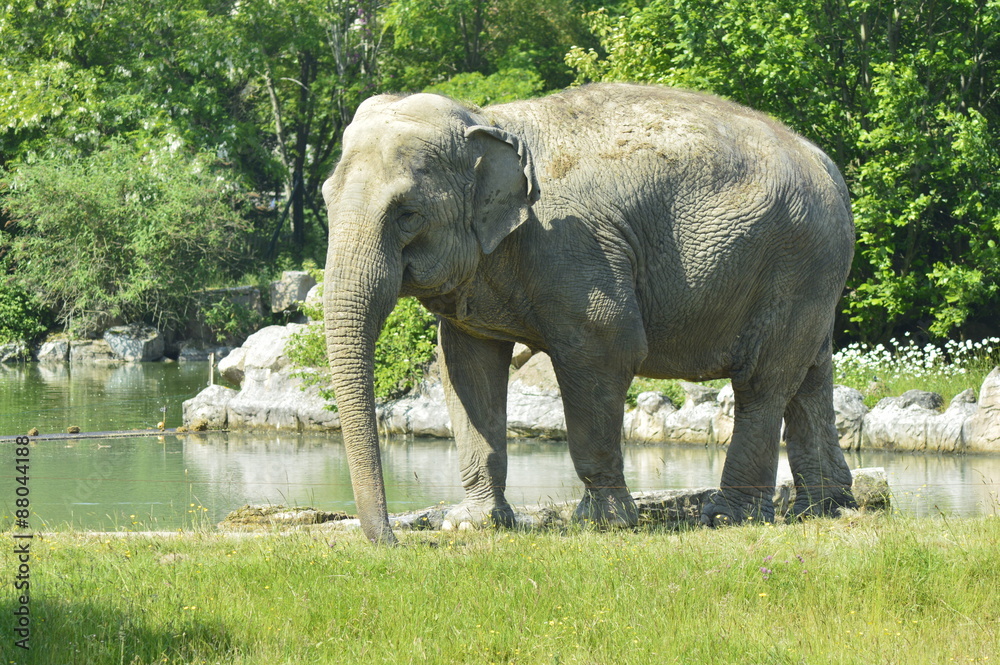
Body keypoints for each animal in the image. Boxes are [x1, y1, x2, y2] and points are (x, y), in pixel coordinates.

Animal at [322, 83, 857, 544]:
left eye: (407, 214)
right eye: (325, 199)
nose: (393, 543)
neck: (489, 119)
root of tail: (827, 166)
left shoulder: (577, 247)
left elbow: (604, 348)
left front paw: (604, 524)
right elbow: (466, 366)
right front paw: (472, 524)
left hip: (794, 263)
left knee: (761, 383)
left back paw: (728, 517)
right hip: (813, 278)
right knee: (810, 376)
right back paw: (826, 509)